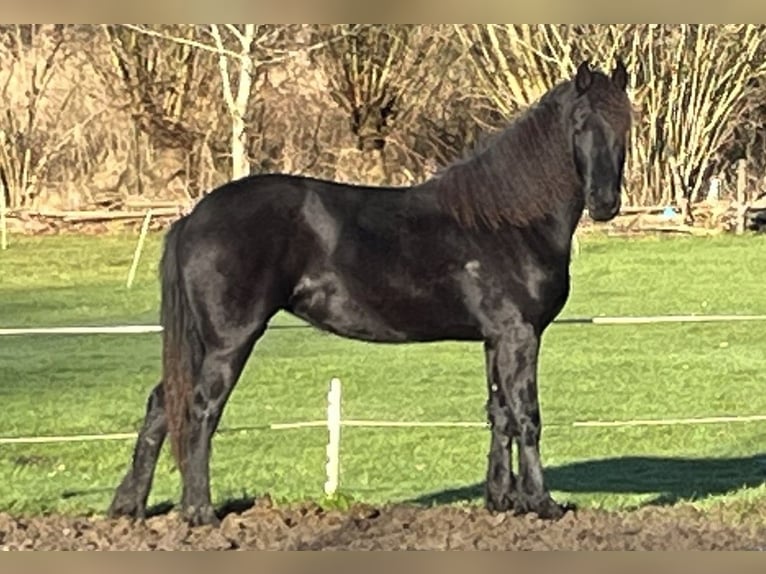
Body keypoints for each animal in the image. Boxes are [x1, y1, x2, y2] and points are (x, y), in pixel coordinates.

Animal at [109, 58, 636, 528]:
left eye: (626, 123)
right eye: (581, 124)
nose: (605, 203)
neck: (508, 221)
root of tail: (193, 217)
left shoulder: (495, 339)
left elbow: (499, 414)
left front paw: (502, 501)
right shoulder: (519, 336)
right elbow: (527, 415)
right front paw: (543, 505)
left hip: (202, 342)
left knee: (162, 405)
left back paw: (129, 508)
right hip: (228, 342)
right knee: (201, 409)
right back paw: (199, 512)